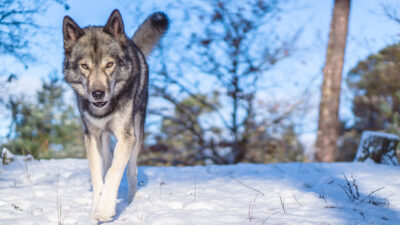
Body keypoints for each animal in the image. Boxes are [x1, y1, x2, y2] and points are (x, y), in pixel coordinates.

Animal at [61, 9, 168, 221]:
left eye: (109, 64)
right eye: (85, 66)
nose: (98, 93)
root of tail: (129, 41)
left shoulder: (126, 137)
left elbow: (114, 172)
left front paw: (104, 211)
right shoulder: (92, 136)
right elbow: (98, 175)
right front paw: (97, 207)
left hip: (137, 134)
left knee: (131, 169)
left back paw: (131, 200)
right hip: (104, 139)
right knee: (108, 160)